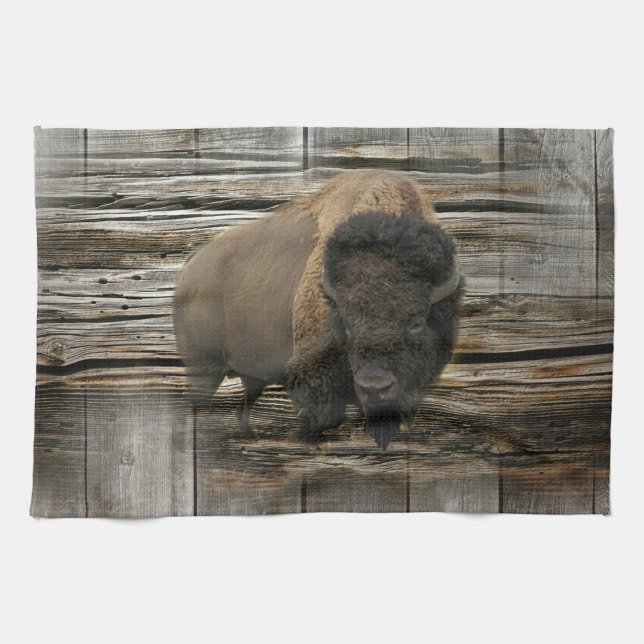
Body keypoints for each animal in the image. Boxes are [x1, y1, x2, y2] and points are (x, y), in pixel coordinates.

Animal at [173, 170, 462, 448]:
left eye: (416, 323)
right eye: (345, 323)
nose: (374, 387)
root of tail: (190, 267)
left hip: (248, 375)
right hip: (205, 368)